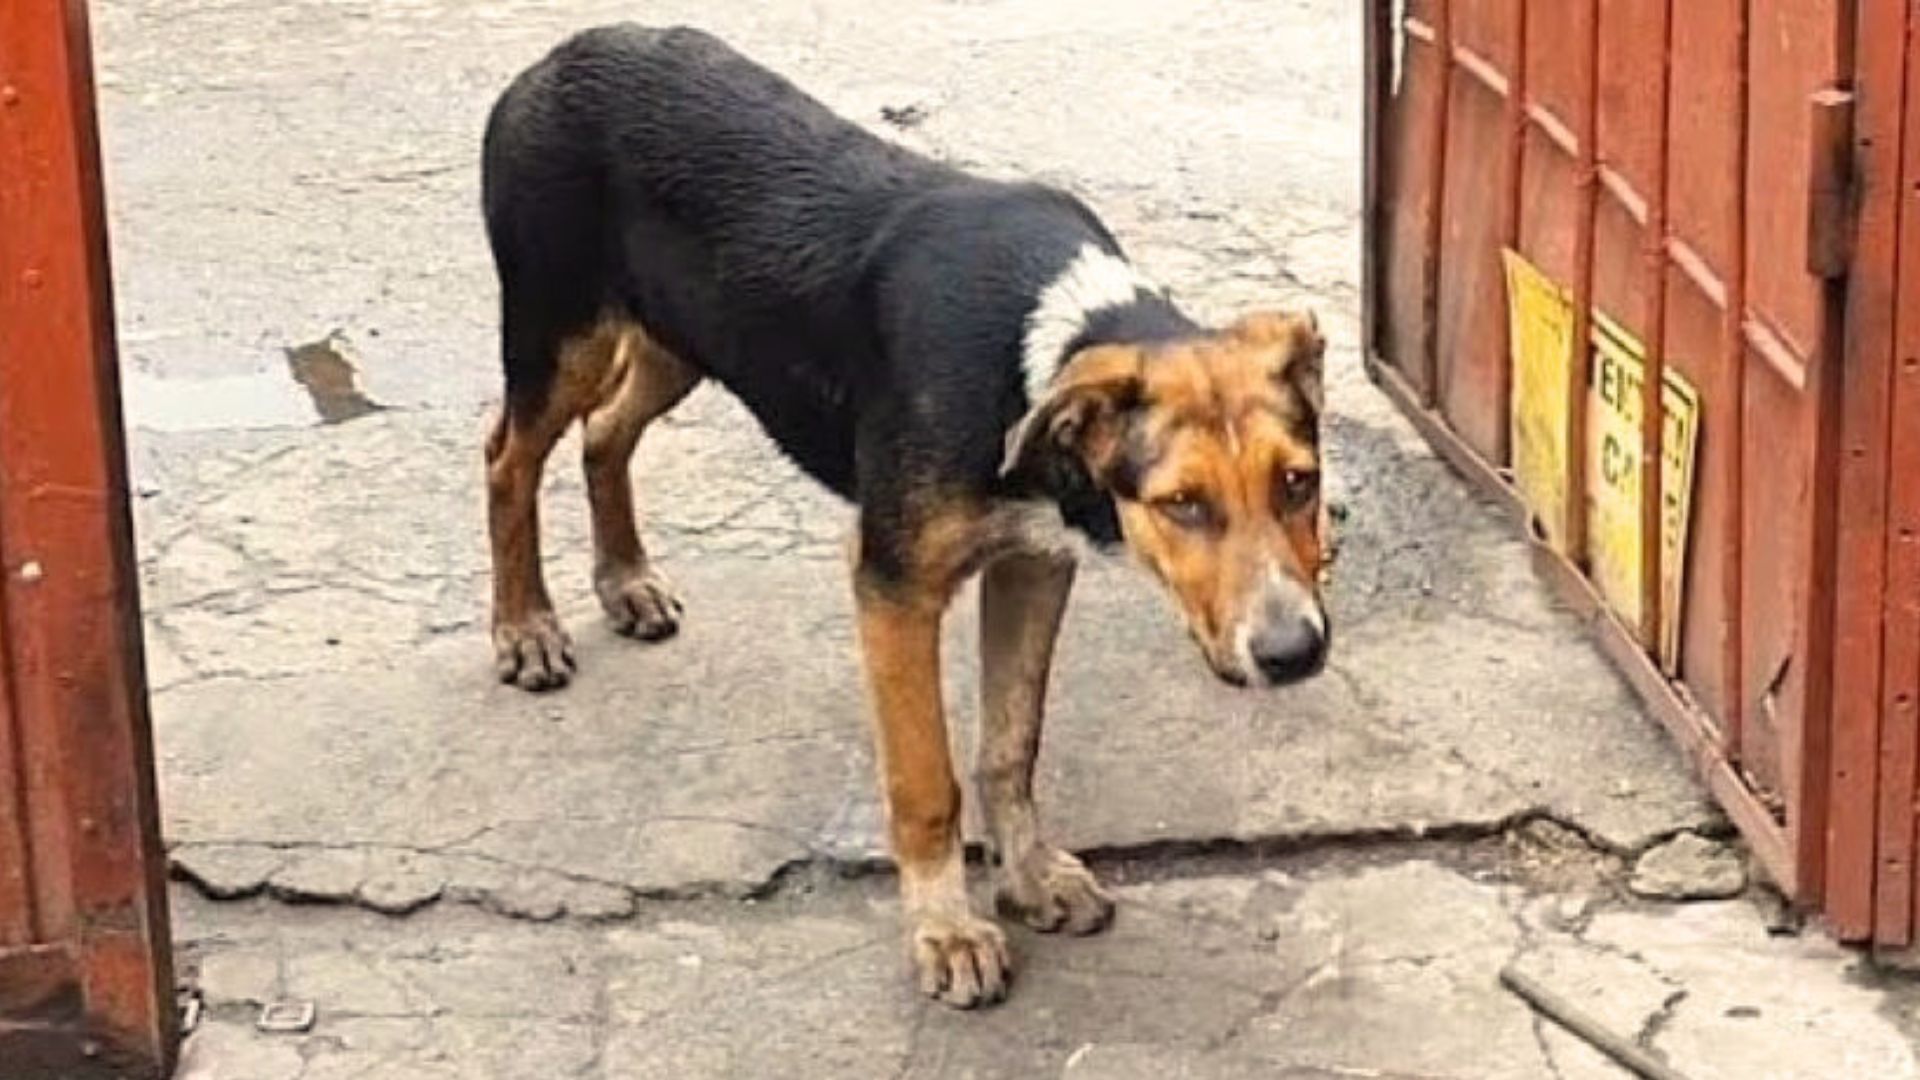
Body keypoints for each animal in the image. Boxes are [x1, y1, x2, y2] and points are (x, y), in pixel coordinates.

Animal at [480, 25, 1328, 1006]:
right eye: (1181, 504)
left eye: (1300, 482)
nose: (1294, 655)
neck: (1029, 355)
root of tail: (560, 55)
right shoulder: (893, 583)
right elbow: (927, 781)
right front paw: (947, 932)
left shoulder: (1034, 562)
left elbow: (1010, 743)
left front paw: (1027, 876)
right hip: (557, 333)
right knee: (508, 460)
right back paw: (525, 627)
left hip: (680, 340)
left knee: (606, 434)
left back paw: (625, 582)